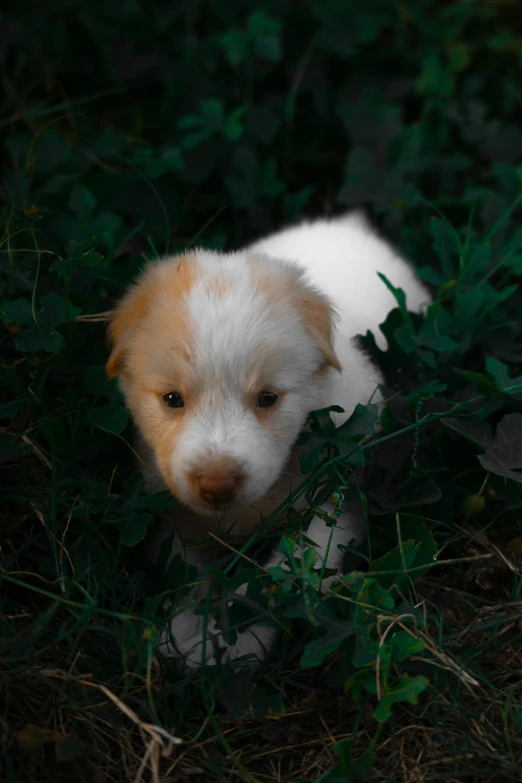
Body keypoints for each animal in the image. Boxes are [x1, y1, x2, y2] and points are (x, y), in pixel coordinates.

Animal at [105, 210, 426, 668]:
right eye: (172, 399)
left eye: (268, 398)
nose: (216, 483)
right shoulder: (169, 511)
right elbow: (188, 570)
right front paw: (190, 633)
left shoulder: (337, 496)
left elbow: (286, 573)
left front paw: (241, 637)